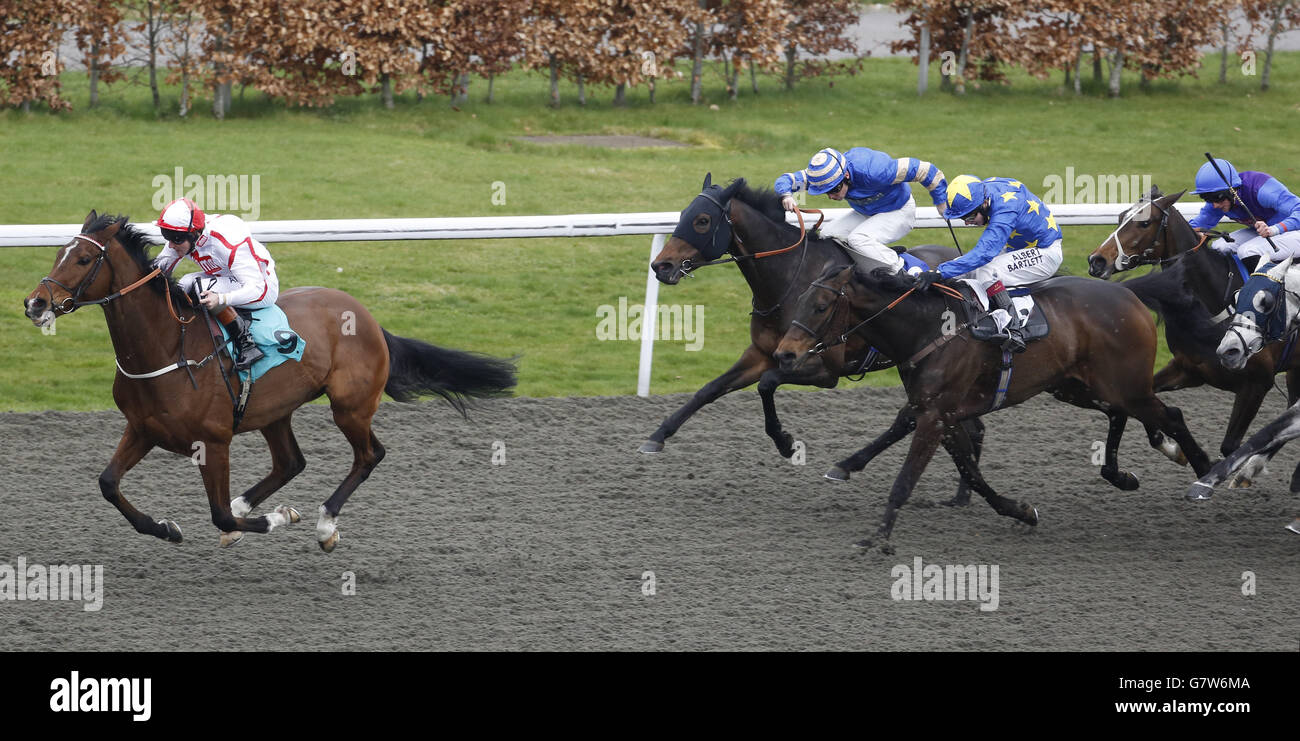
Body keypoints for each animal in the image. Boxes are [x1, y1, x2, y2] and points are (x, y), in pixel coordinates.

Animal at [22, 210, 514, 551]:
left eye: (83, 258)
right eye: (59, 252)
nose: (34, 303)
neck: (167, 348)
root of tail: (371, 320)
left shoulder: (213, 441)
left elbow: (219, 515)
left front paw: (281, 518)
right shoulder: (142, 428)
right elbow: (108, 484)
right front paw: (166, 528)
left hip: (350, 407)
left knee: (369, 455)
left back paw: (324, 524)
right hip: (275, 410)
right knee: (290, 462)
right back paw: (253, 505)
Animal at [642, 170, 982, 499]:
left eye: (702, 220)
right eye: (682, 214)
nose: (661, 265)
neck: (791, 280)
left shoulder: (824, 369)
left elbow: (767, 384)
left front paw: (785, 442)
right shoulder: (761, 353)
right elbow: (710, 389)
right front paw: (657, 435)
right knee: (972, 424)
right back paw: (962, 494)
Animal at [769, 262, 1206, 546]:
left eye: (820, 307)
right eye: (801, 300)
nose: (784, 355)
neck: (930, 330)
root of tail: (1128, 293)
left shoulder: (933, 417)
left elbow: (905, 480)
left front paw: (878, 538)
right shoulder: (941, 415)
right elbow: (974, 475)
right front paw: (1020, 510)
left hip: (1125, 385)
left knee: (1171, 415)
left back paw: (1205, 472)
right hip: (1079, 386)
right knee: (1121, 413)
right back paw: (1123, 474)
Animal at [1086, 184, 1300, 486]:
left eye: (1144, 223)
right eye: (1119, 217)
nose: (1096, 260)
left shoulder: (1258, 382)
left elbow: (1232, 446)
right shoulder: (1188, 369)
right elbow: (1138, 405)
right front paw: (1171, 448)